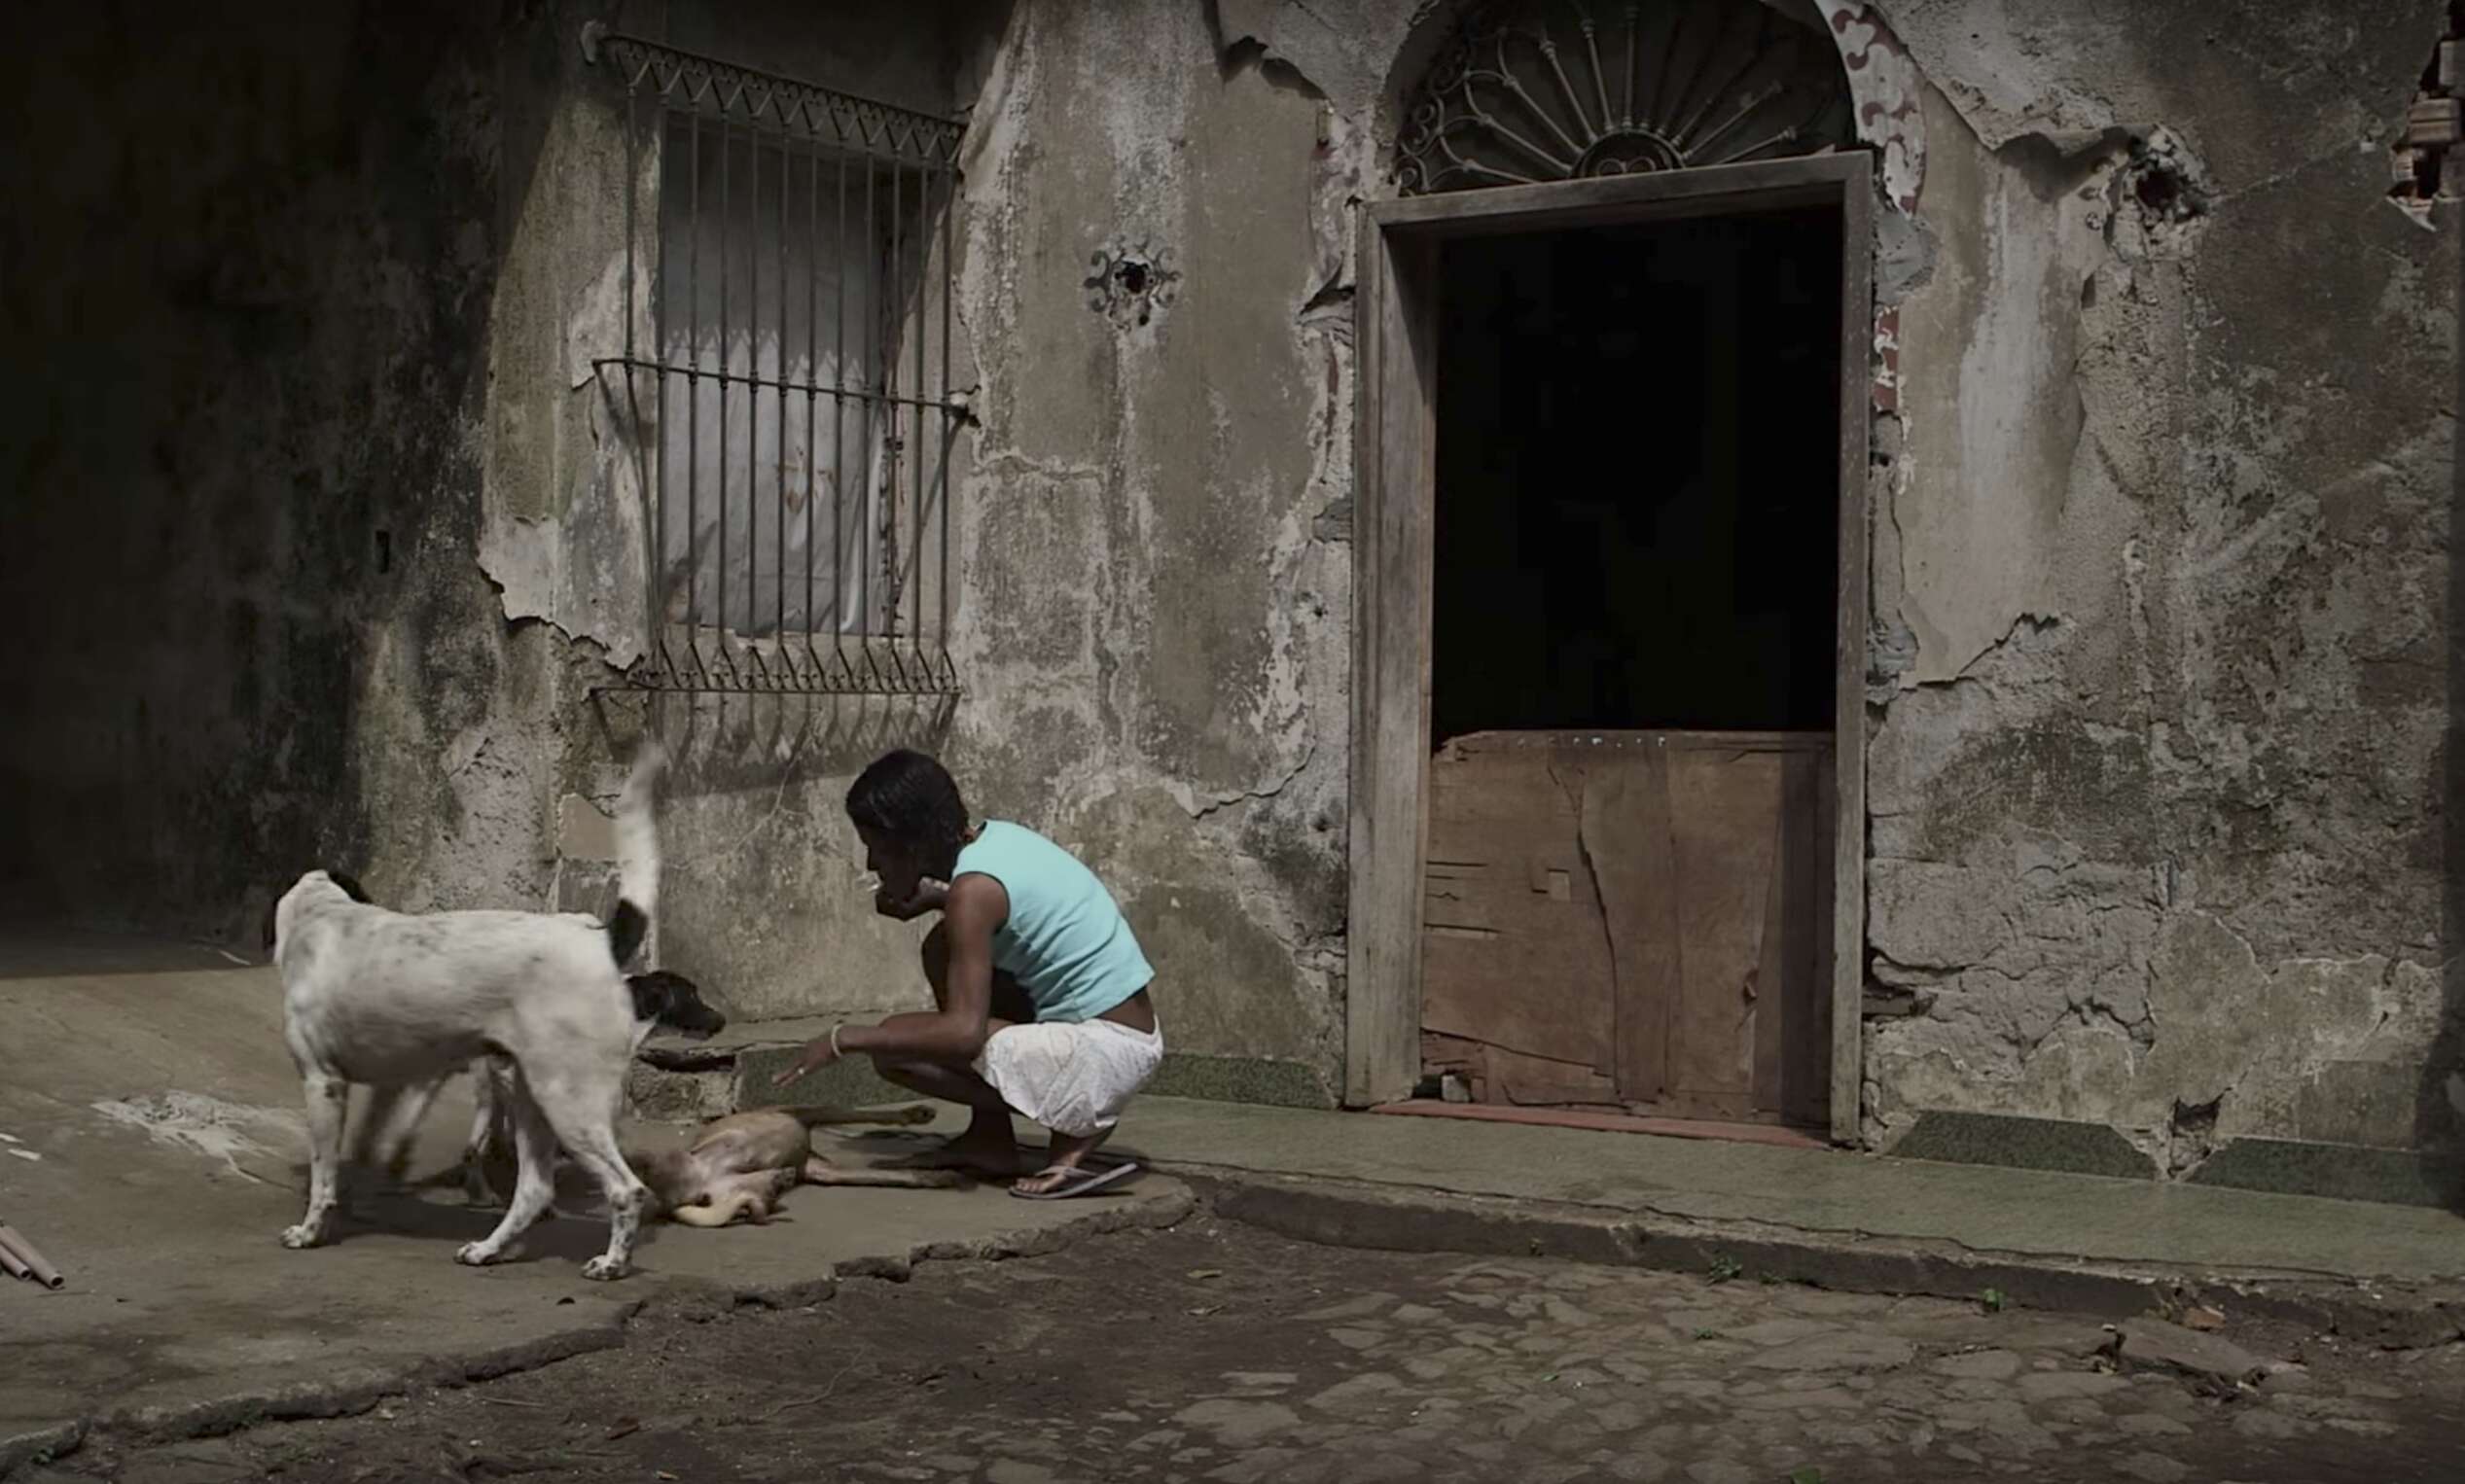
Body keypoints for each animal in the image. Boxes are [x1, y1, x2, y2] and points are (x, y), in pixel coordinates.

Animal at [262, 744, 675, 1272]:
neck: (323, 915)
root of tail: (599, 941)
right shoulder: (396, 1084)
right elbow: (376, 1146)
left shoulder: (323, 1083)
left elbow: (324, 1175)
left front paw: (312, 1230)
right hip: (530, 1098)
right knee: (535, 1189)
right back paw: (489, 1249)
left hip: (569, 1102)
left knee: (626, 1189)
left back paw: (611, 1264)